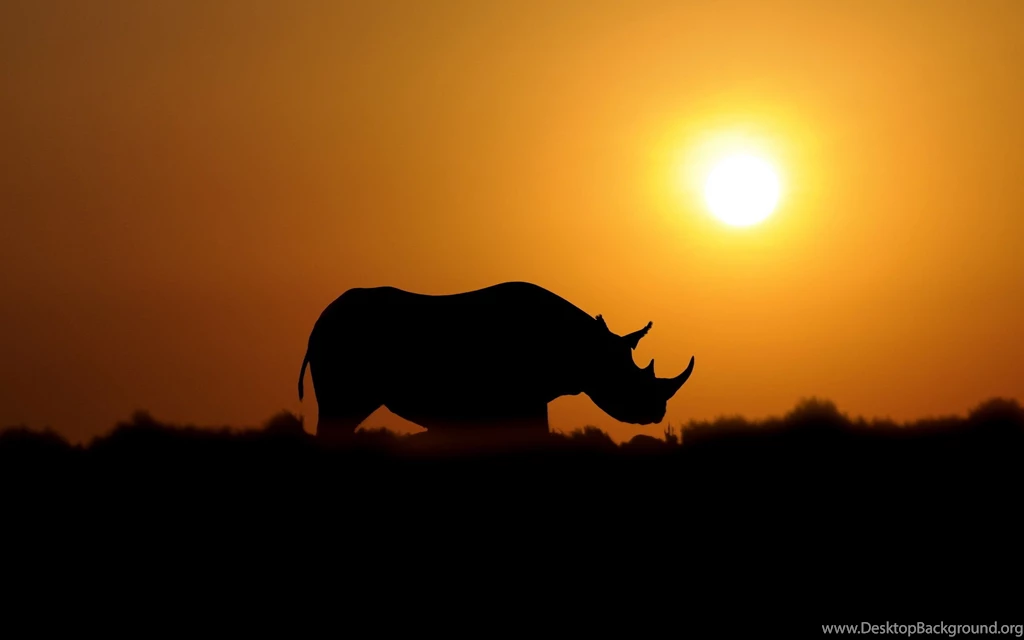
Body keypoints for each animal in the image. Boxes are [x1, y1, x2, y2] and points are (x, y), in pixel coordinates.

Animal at [298, 281, 694, 441]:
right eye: (627, 381)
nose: (656, 413)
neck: (585, 348)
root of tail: (318, 321)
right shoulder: (523, 398)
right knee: (339, 412)